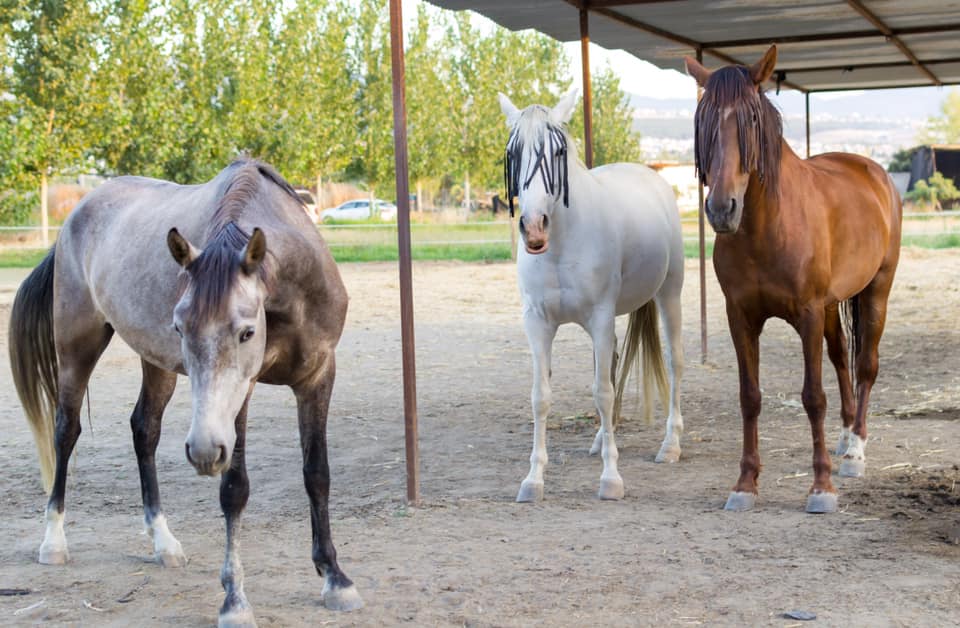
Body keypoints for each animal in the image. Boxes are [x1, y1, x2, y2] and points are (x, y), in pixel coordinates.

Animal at [9, 158, 362, 626]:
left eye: (247, 332)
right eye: (180, 328)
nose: (203, 451)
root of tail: (76, 215)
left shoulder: (319, 376)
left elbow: (317, 474)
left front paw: (335, 577)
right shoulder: (240, 397)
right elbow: (235, 489)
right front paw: (234, 599)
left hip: (155, 364)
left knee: (144, 430)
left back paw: (164, 543)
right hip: (75, 348)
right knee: (65, 432)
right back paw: (53, 541)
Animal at [498, 90, 685, 502]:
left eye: (557, 151)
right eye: (513, 153)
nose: (533, 228)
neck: (561, 245)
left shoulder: (600, 316)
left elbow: (601, 391)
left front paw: (611, 479)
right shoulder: (537, 323)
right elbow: (541, 396)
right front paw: (533, 480)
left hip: (670, 294)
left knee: (673, 362)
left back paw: (671, 445)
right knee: (613, 361)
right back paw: (602, 438)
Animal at [685, 46, 902, 513]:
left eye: (750, 120)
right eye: (702, 120)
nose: (722, 209)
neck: (766, 228)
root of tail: (872, 170)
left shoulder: (807, 314)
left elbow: (812, 397)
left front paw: (821, 487)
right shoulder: (741, 317)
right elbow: (750, 397)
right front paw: (745, 484)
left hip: (876, 291)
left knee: (866, 365)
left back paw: (855, 452)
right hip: (832, 307)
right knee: (841, 358)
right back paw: (844, 438)